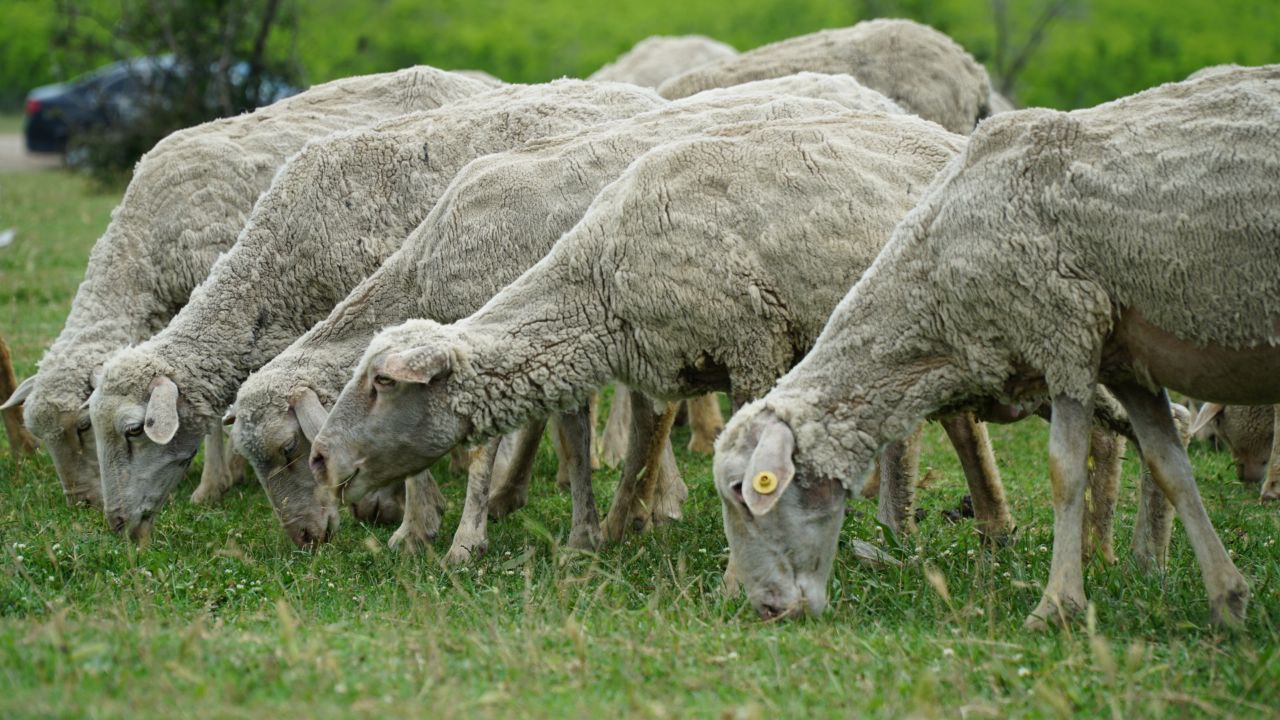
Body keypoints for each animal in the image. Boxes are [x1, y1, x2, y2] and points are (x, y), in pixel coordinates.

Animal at [711, 64, 1269, 625]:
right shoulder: (1123, 361)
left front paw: (1057, 605)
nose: (766, 608)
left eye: (745, 491)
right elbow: (1170, 464)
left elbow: (1064, 472)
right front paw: (1227, 600)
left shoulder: (1066, 335)